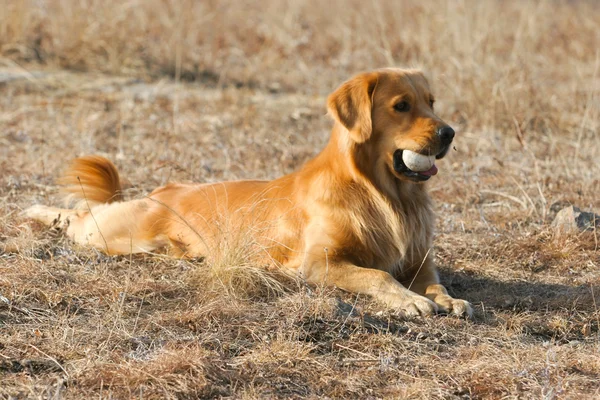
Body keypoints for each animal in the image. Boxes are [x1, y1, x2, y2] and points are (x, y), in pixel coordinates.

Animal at [23, 69, 474, 318]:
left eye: (431, 102)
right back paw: (34, 211)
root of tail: (164, 189)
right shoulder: (318, 263)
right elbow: (378, 274)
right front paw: (409, 301)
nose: (450, 133)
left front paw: (447, 300)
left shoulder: (419, 261)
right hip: (112, 233)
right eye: (401, 105)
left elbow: (434, 284)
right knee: (79, 215)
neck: (386, 196)